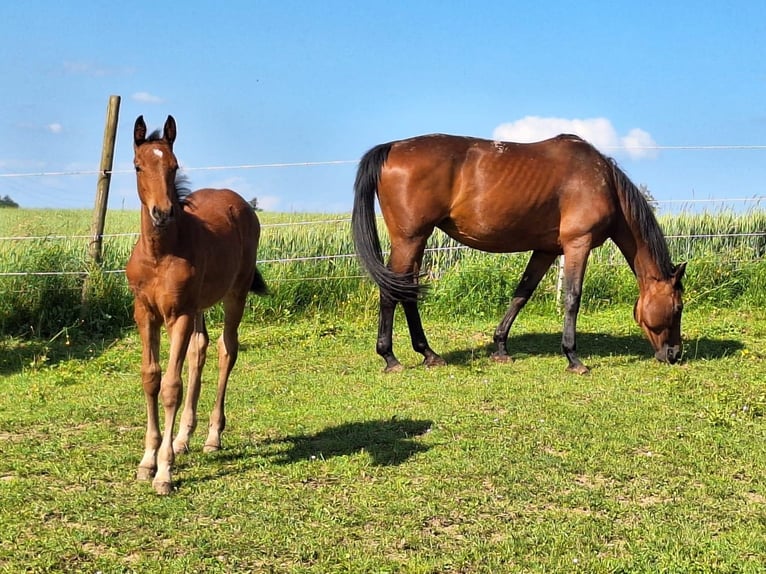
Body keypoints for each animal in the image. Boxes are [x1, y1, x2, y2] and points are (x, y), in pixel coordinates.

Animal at [127, 116, 268, 496]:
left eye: (174, 166)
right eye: (138, 165)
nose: (162, 212)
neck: (160, 252)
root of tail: (237, 200)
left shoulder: (179, 315)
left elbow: (171, 387)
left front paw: (163, 472)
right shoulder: (145, 313)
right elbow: (151, 378)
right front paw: (148, 460)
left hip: (234, 295)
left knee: (226, 349)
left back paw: (212, 436)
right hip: (200, 307)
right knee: (199, 350)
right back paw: (181, 439)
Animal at [352, 135, 688, 378]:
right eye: (678, 308)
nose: (675, 355)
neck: (604, 183)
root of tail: (392, 147)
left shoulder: (546, 250)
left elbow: (521, 294)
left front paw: (501, 348)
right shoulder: (577, 244)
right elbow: (572, 298)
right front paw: (573, 357)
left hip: (418, 240)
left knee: (407, 292)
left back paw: (429, 354)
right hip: (408, 239)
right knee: (390, 292)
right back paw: (390, 357)